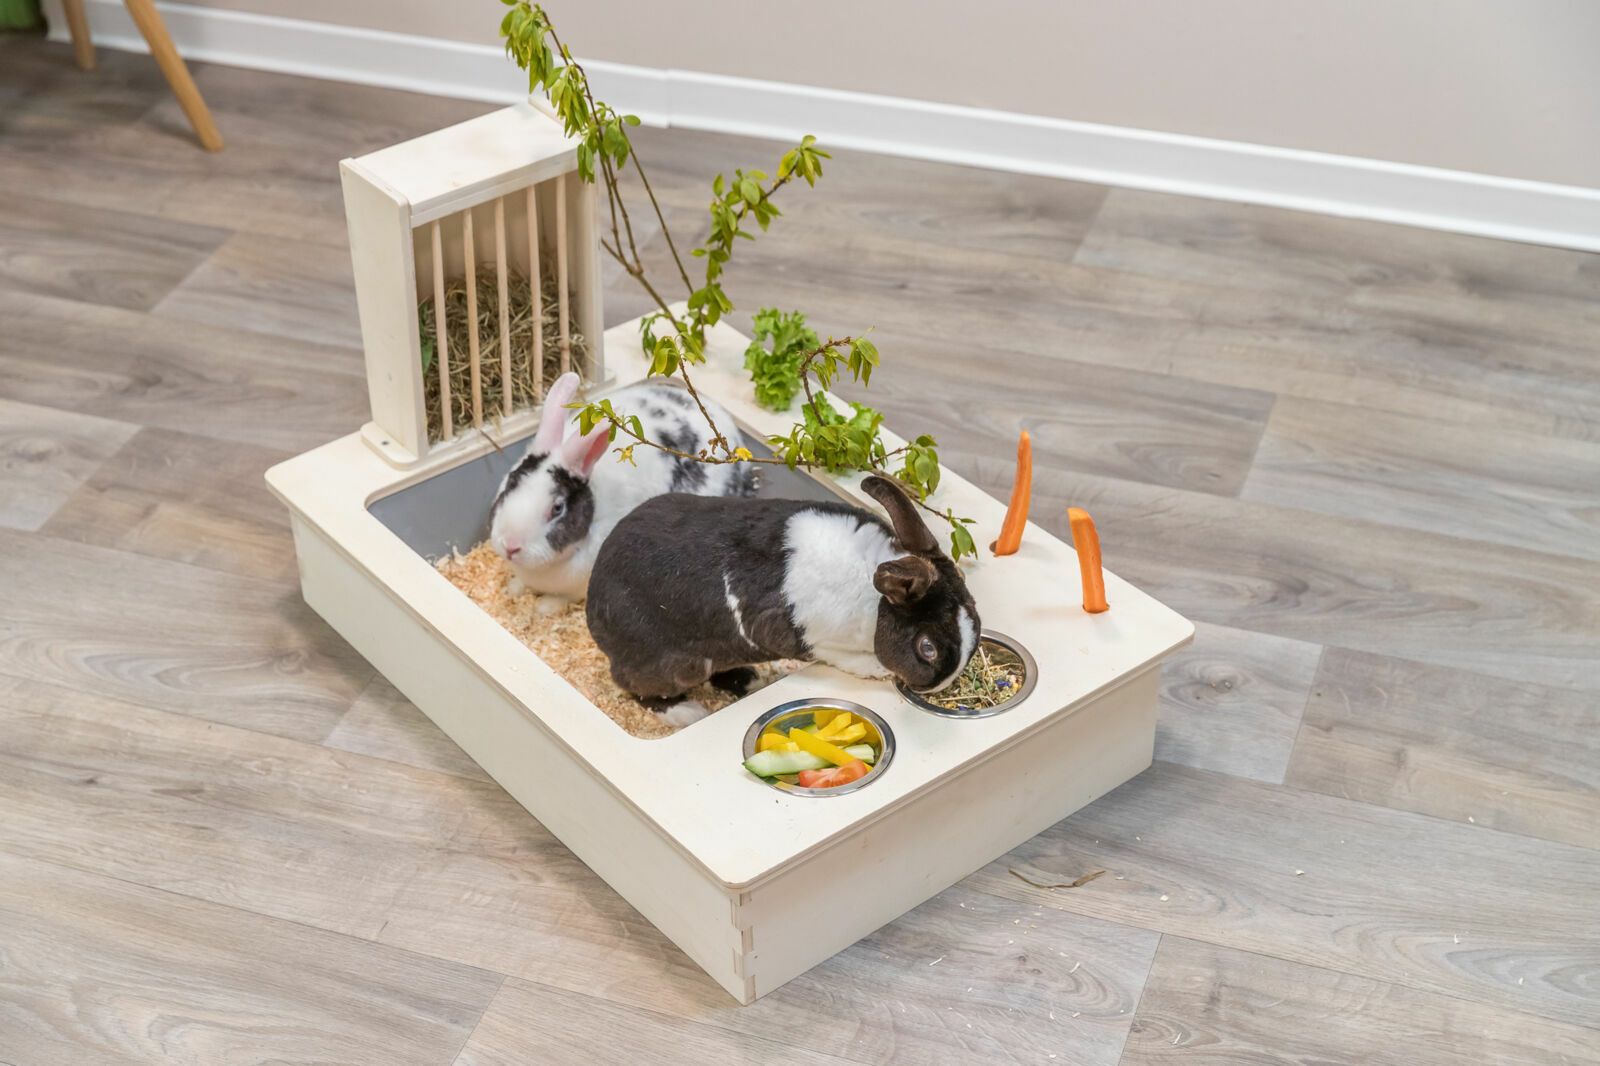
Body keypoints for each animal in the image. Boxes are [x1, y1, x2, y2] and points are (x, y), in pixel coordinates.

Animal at [489, 371, 756, 612]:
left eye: (557, 508)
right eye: (511, 483)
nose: (510, 546)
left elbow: (560, 600)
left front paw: (544, 607)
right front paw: (512, 588)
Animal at [586, 474, 980, 723]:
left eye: (974, 611)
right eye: (927, 648)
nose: (941, 684)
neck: (875, 596)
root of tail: (593, 607)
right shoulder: (823, 642)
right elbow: (858, 662)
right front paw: (879, 670)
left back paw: (750, 681)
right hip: (671, 666)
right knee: (633, 684)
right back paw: (686, 713)